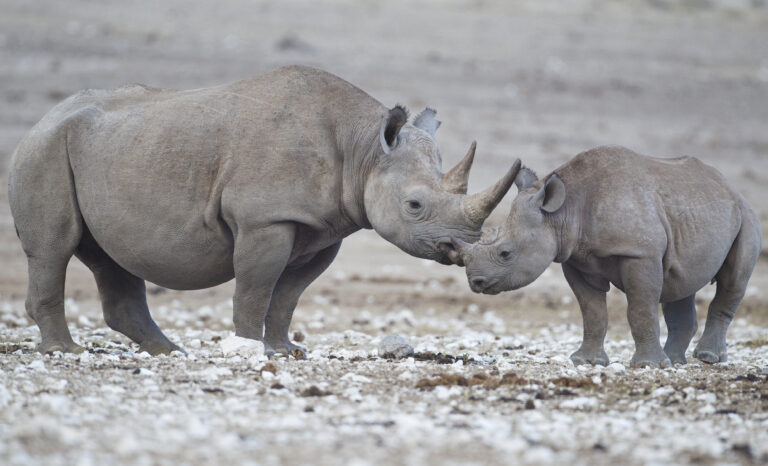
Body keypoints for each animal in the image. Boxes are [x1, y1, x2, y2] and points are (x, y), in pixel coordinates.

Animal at [8, 65, 519, 357]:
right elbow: (256, 287)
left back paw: (170, 354)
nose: (458, 248)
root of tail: (41, 121)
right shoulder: (265, 218)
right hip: (44, 151)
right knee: (54, 247)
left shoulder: (322, 229)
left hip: (104, 149)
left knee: (110, 256)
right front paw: (252, 349)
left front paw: (285, 351)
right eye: (414, 205)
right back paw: (65, 352)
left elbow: (288, 295)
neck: (363, 150)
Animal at [450, 145, 761, 368]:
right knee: (680, 284)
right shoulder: (574, 258)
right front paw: (585, 361)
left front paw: (648, 366)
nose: (475, 282)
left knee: (733, 280)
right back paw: (674, 361)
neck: (563, 212)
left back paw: (707, 358)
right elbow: (592, 310)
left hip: (746, 215)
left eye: (505, 253)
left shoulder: (639, 253)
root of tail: (730, 187)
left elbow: (640, 308)